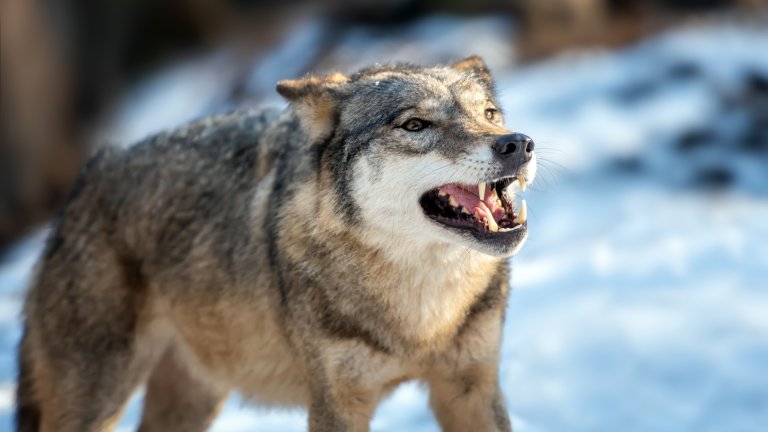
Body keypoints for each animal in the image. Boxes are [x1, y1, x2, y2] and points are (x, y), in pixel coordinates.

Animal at [15, 55, 536, 430]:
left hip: (193, 399)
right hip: (98, 400)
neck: (422, 318)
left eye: (489, 114)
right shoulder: (336, 404)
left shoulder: (471, 389)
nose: (518, 143)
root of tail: (86, 178)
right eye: (414, 125)